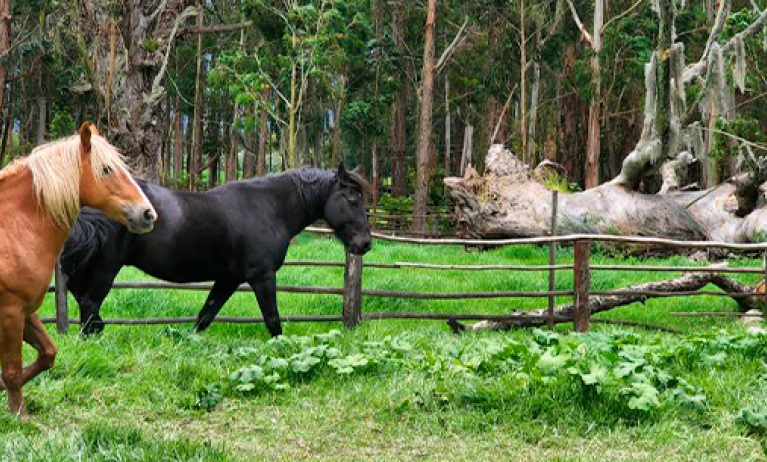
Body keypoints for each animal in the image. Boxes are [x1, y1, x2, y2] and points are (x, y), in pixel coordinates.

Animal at [0, 121, 157, 414]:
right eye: (106, 169)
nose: (148, 214)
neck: (13, 228)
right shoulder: (10, 312)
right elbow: (13, 371)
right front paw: (19, 414)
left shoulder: (26, 310)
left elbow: (48, 354)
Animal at [60, 165, 372, 336]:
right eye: (352, 199)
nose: (365, 243)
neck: (270, 208)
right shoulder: (262, 276)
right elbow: (272, 319)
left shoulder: (229, 278)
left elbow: (206, 315)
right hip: (105, 268)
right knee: (88, 304)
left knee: (80, 297)